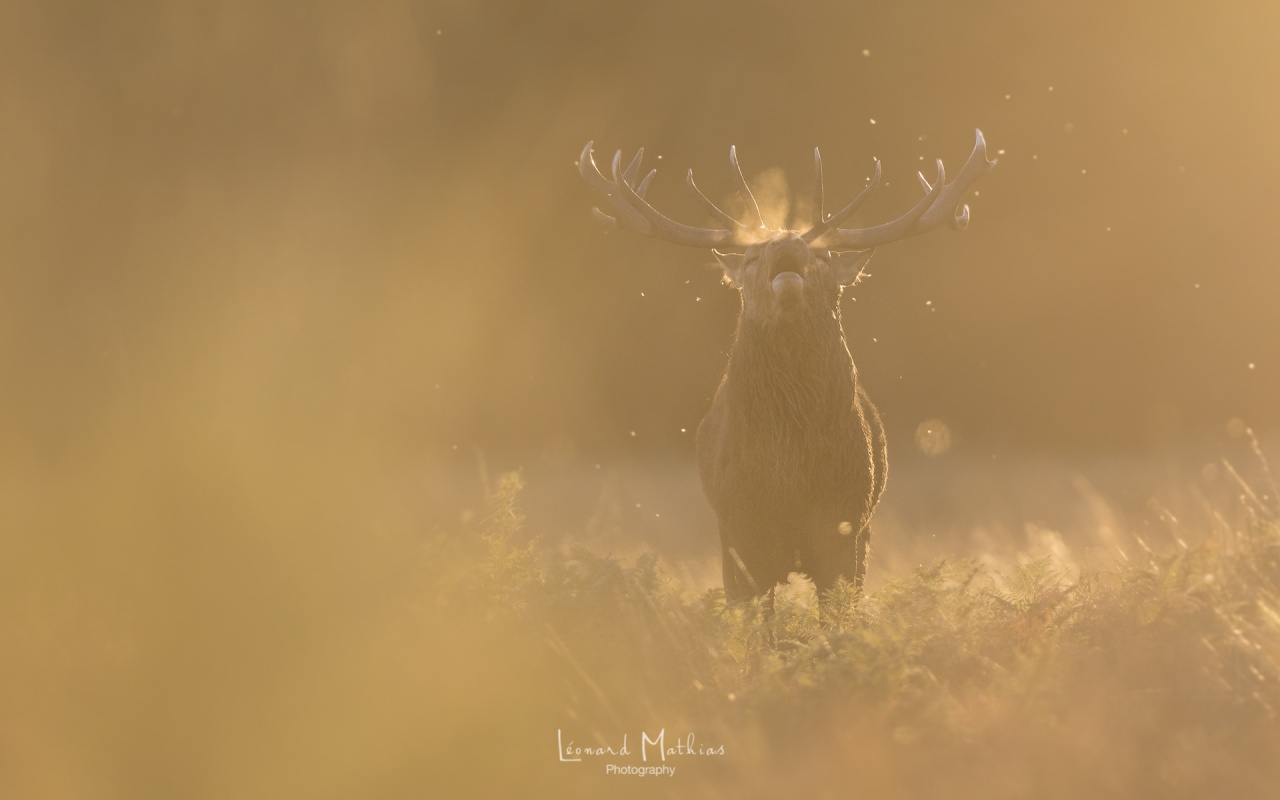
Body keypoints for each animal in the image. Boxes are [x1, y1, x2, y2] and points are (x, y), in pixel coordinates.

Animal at [579, 131, 996, 601]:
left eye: (824, 258)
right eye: (750, 259)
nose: (786, 245)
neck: (790, 478)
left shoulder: (845, 524)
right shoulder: (739, 533)